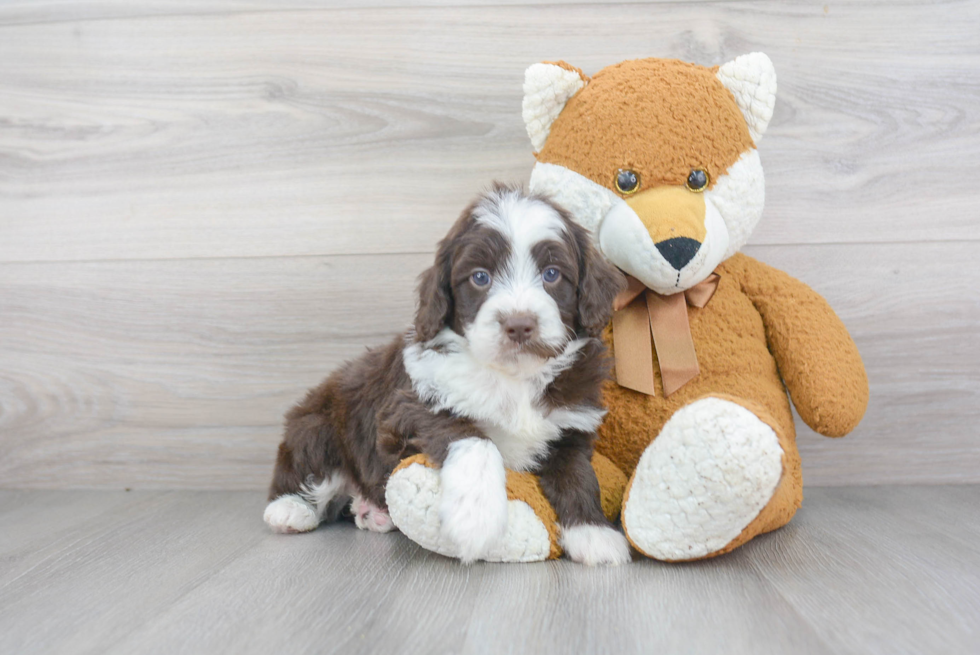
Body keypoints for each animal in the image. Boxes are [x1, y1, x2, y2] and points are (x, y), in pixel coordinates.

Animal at [262, 187, 628, 568]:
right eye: (480, 277)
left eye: (552, 274)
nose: (519, 324)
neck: (513, 376)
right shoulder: (408, 408)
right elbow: (474, 439)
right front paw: (476, 518)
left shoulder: (571, 426)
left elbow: (578, 474)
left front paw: (593, 532)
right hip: (318, 421)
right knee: (308, 467)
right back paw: (290, 509)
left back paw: (372, 512)